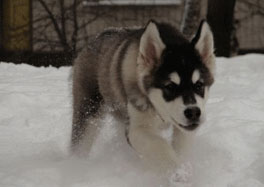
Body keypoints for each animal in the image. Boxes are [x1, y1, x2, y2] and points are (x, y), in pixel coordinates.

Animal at [71, 19, 214, 172]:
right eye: (170, 87)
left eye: (199, 85)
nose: (193, 112)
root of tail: (99, 36)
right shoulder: (135, 128)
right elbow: (159, 145)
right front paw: (177, 172)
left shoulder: (184, 129)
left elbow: (181, 146)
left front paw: (182, 166)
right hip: (89, 111)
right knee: (80, 141)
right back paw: (75, 164)